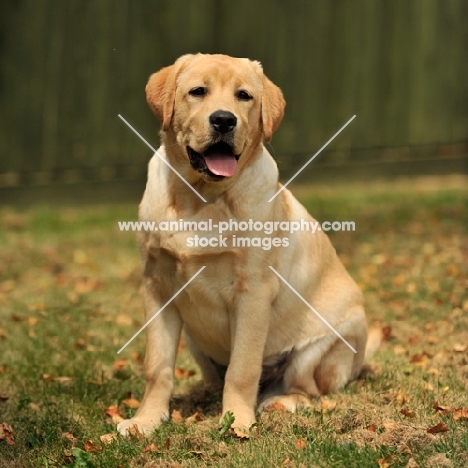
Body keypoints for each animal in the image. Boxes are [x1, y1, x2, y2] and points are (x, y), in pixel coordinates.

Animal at [116, 53, 370, 436]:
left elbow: (243, 367)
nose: (224, 120)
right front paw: (146, 420)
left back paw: (280, 401)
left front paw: (237, 421)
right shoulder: (157, 287)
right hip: (196, 340)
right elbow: (157, 367)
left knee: (305, 388)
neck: (199, 199)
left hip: (324, 343)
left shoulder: (253, 292)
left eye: (244, 96)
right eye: (198, 91)